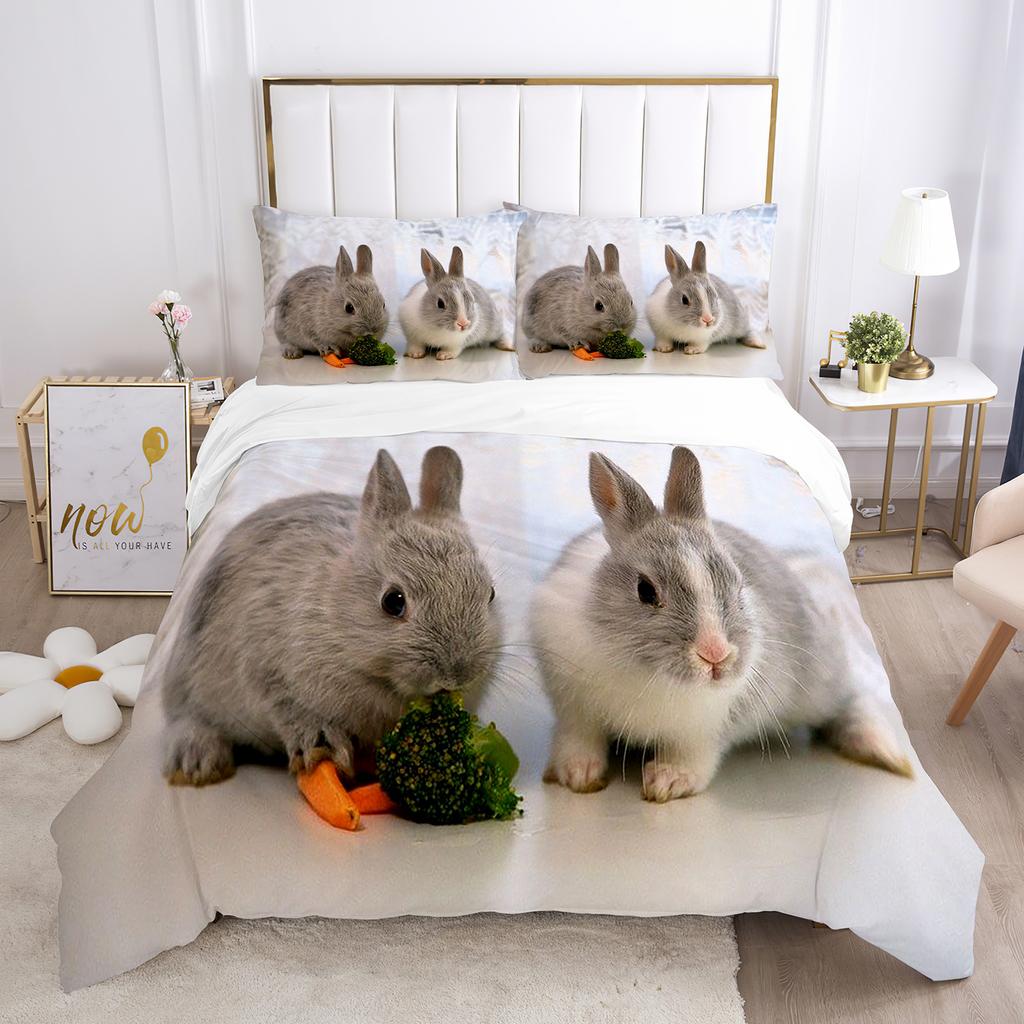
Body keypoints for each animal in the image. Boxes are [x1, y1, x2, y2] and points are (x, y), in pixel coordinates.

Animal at [162, 446, 501, 787]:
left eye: (490, 594)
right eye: (393, 601)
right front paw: (322, 747)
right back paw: (198, 765)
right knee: (189, 719)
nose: (455, 676)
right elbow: (290, 709)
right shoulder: (264, 668)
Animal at [531, 446, 912, 803]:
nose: (715, 654)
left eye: (738, 582)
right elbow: (580, 739)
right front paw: (577, 775)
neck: (645, 674)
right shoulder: (575, 711)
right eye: (645, 590)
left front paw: (669, 781)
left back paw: (884, 752)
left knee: (850, 704)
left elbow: (693, 757)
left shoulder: (703, 730)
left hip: (820, 682)